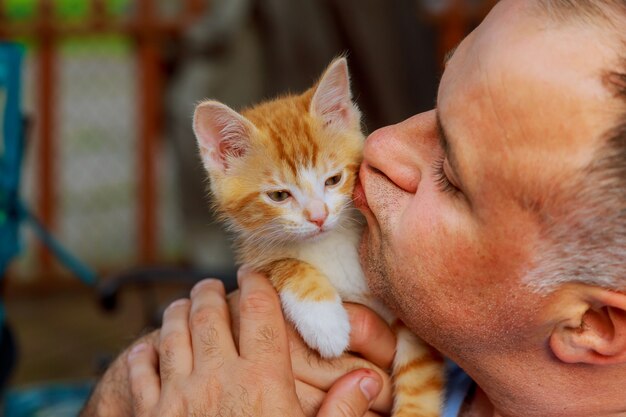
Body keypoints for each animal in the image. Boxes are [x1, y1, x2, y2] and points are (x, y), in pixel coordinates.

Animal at [193, 58, 442, 416]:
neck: (329, 245)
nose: (318, 216)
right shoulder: (256, 258)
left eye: (333, 180)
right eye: (279, 196)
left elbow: (419, 380)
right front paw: (326, 323)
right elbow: (285, 264)